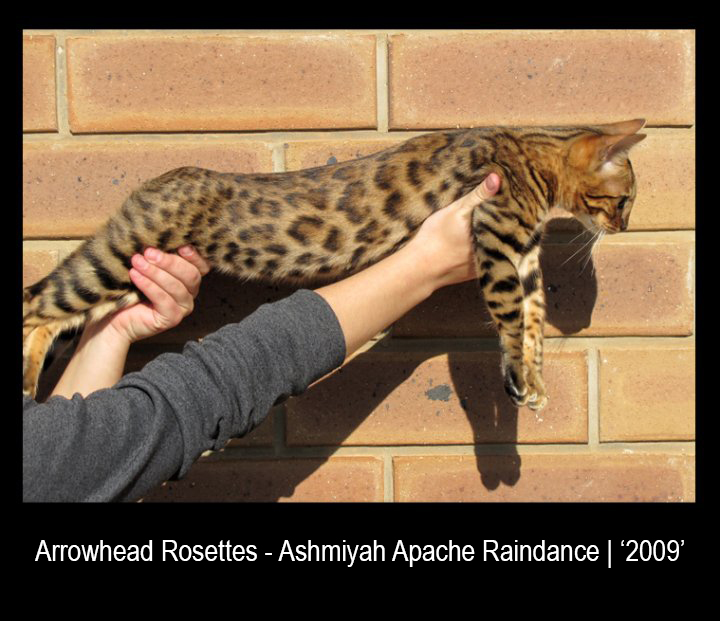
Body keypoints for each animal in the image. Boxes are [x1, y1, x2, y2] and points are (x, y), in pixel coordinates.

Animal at [22, 118, 648, 406]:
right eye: (623, 201)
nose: (624, 227)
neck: (534, 158)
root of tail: (159, 179)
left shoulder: (526, 258)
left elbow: (535, 321)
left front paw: (534, 381)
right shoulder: (495, 235)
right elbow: (513, 317)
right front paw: (519, 377)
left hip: (139, 274)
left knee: (61, 314)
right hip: (116, 257)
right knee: (36, 303)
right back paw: (27, 384)